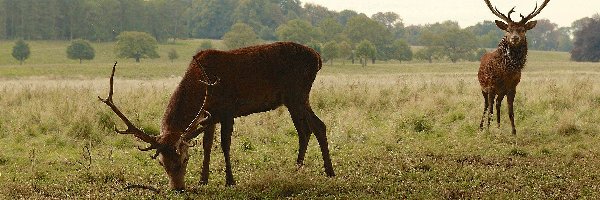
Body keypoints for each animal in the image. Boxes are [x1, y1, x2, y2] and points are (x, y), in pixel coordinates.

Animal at [98, 41, 332, 190]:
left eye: (184, 159)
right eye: (162, 163)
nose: (178, 188)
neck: (201, 86)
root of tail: (318, 58)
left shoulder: (228, 110)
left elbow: (225, 145)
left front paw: (230, 180)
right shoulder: (208, 116)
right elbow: (207, 145)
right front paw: (203, 179)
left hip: (298, 93)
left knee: (318, 126)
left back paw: (329, 171)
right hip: (292, 99)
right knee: (305, 130)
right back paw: (297, 168)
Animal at [478, 0, 552, 135]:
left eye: (522, 30)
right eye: (508, 30)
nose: (514, 38)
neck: (506, 73)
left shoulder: (512, 87)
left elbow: (510, 111)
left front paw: (513, 131)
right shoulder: (491, 86)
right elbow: (490, 110)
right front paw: (487, 130)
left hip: (501, 92)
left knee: (498, 104)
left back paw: (498, 126)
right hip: (483, 88)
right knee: (486, 105)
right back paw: (481, 127)